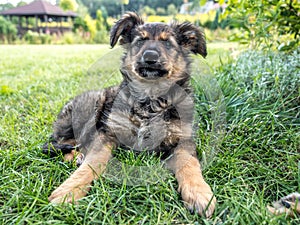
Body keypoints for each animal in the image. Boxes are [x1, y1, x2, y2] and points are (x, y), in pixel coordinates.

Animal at [42, 11, 216, 217]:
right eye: (140, 41)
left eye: (167, 44)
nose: (150, 57)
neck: (150, 100)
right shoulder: (108, 132)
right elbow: (93, 162)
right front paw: (69, 191)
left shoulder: (183, 137)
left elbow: (189, 164)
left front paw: (200, 193)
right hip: (95, 103)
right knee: (62, 142)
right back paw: (77, 156)